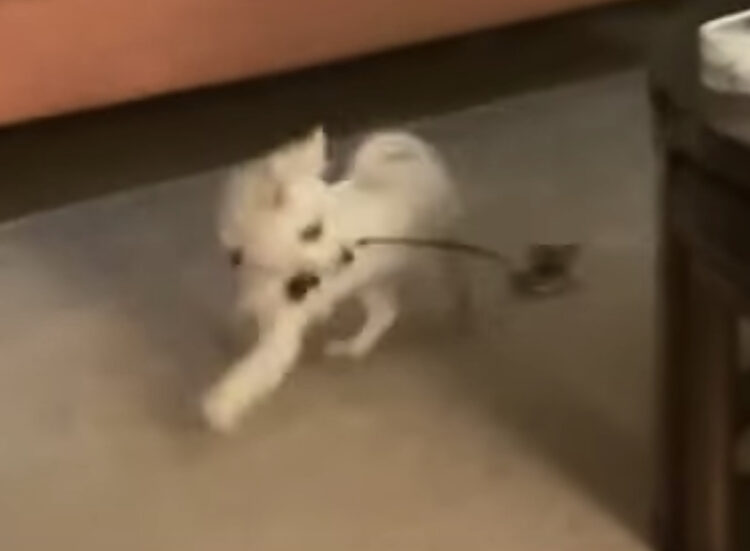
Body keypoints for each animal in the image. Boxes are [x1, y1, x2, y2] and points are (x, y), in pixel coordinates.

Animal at [202, 127, 461, 432]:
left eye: (320, 225)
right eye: (312, 231)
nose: (348, 255)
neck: (276, 270)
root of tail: (410, 172)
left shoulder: (282, 335)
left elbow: (251, 371)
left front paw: (221, 404)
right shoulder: (260, 297)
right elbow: (248, 320)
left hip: (434, 251)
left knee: (451, 274)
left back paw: (458, 307)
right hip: (367, 282)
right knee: (384, 313)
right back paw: (354, 347)